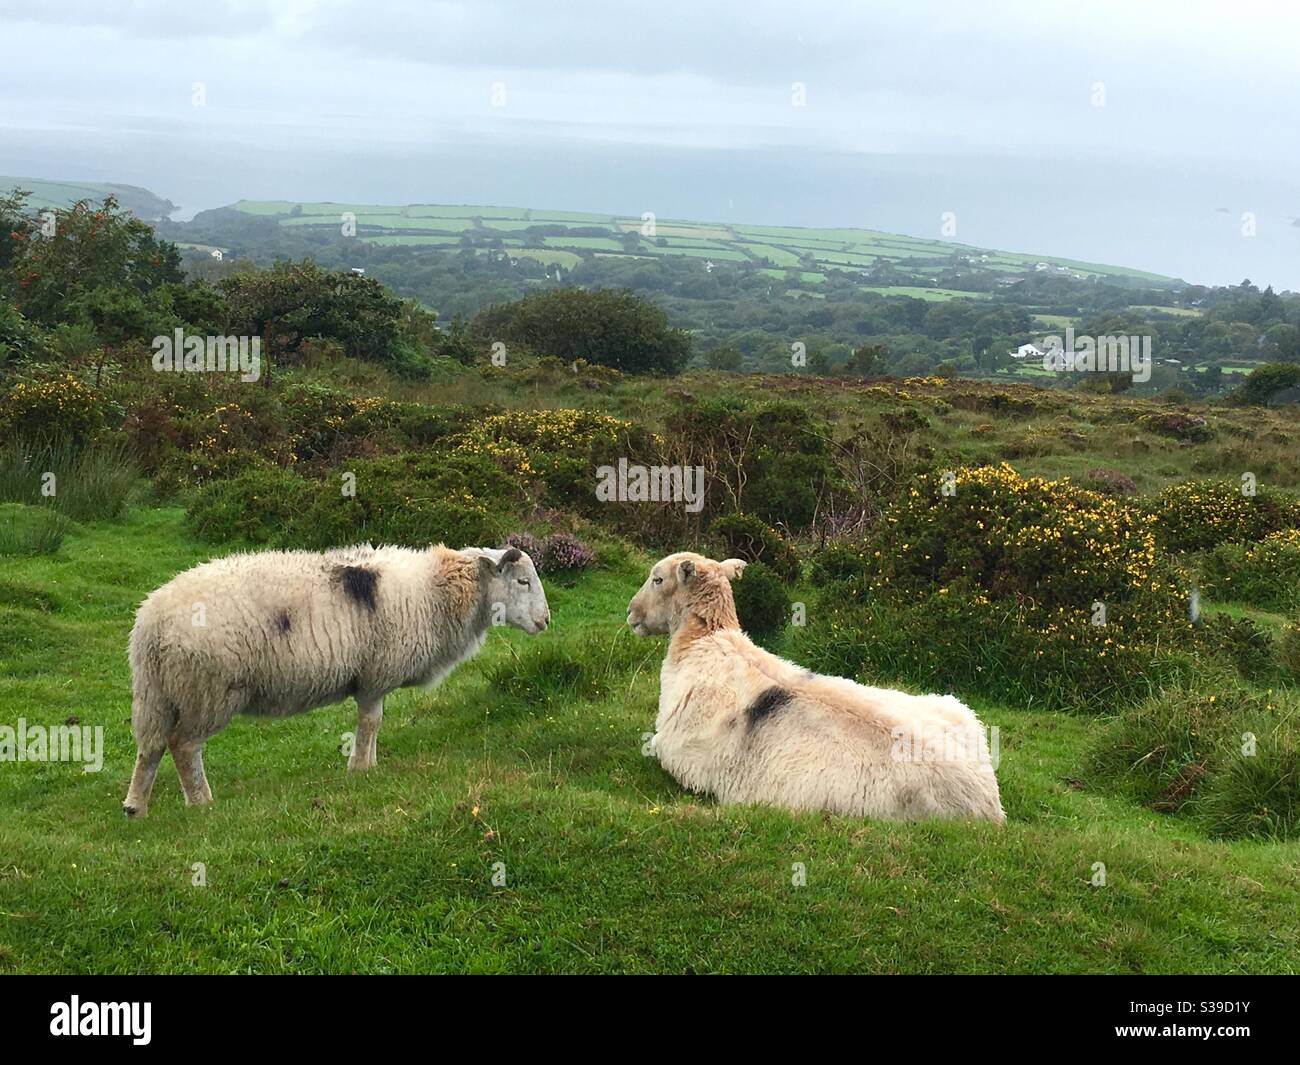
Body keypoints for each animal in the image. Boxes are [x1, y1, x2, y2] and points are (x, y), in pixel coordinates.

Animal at [122, 544, 549, 816]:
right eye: (522, 582)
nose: (546, 621)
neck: (438, 593)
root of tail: (150, 623)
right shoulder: (376, 674)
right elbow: (371, 722)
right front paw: (360, 768)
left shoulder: (373, 678)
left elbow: (374, 724)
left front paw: (369, 764)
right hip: (207, 691)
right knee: (183, 746)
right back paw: (200, 802)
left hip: (158, 692)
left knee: (150, 747)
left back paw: (135, 806)